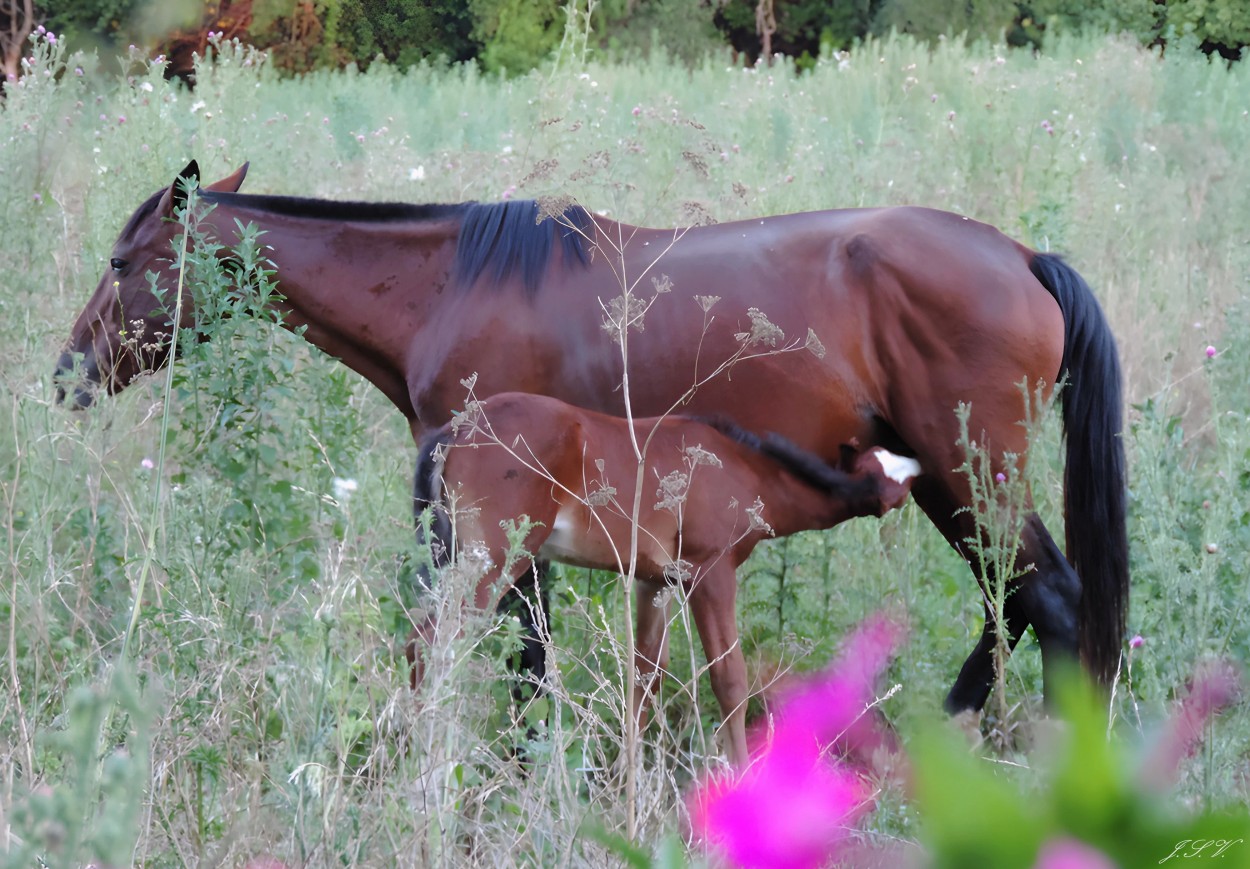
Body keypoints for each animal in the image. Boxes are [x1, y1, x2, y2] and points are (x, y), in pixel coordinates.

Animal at [56, 161, 1135, 715]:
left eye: (122, 261)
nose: (67, 373)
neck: (446, 287)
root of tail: (1019, 256)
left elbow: (524, 645)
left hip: (970, 468)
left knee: (1047, 598)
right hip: (944, 479)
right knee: (1014, 602)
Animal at [410, 390, 920, 765]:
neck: (742, 469)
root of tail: (456, 429)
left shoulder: (655, 582)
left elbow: (644, 677)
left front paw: (624, 784)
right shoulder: (710, 573)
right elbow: (730, 681)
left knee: (420, 636)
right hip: (493, 562)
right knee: (437, 640)